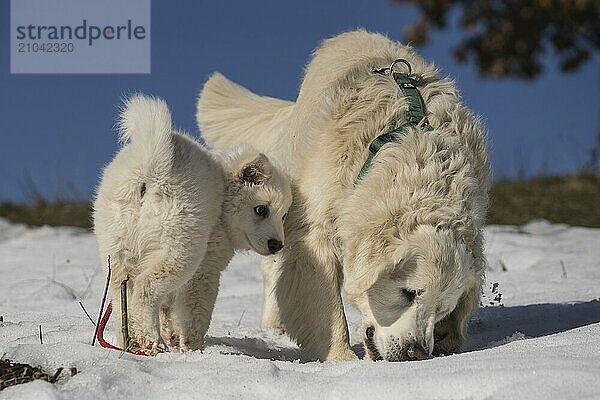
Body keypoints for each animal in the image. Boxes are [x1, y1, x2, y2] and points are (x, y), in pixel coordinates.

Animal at [92, 94, 292, 354]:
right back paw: (150, 341)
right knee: (146, 287)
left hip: (117, 252)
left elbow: (168, 308)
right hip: (180, 249)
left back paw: (130, 343)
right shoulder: (205, 270)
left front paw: (173, 337)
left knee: (121, 299)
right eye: (261, 210)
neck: (224, 196)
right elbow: (196, 313)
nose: (277, 245)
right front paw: (193, 348)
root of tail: (151, 168)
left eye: (284, 215)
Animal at [199, 29, 490, 360]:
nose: (415, 353)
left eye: (442, 309)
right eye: (408, 293)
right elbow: (328, 308)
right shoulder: (313, 233)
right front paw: (341, 359)